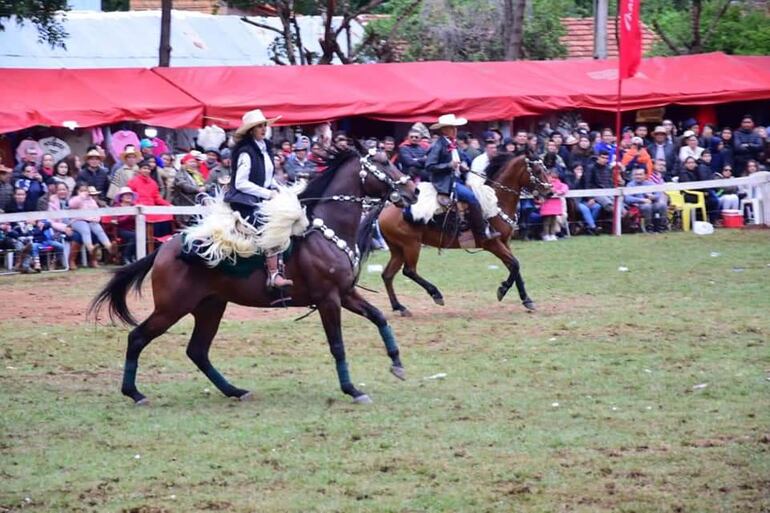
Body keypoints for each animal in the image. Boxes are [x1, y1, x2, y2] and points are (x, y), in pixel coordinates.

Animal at [91, 149, 416, 404]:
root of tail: (163, 250)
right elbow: (337, 345)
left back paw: (234, 390)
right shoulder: (329, 300)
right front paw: (351, 389)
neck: (326, 230)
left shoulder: (346, 294)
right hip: (172, 308)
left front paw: (398, 363)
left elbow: (379, 317)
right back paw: (134, 393)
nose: (413, 191)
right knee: (137, 338)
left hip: (210, 307)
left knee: (198, 351)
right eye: (383, 161)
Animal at [376, 153, 548, 316]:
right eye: (538, 170)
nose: (550, 190)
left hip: (398, 249)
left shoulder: (505, 242)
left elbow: (514, 267)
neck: (496, 201)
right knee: (409, 271)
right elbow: (515, 264)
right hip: (411, 245)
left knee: (387, 275)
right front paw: (503, 289)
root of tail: (385, 210)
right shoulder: (492, 244)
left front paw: (527, 300)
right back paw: (436, 294)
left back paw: (399, 307)